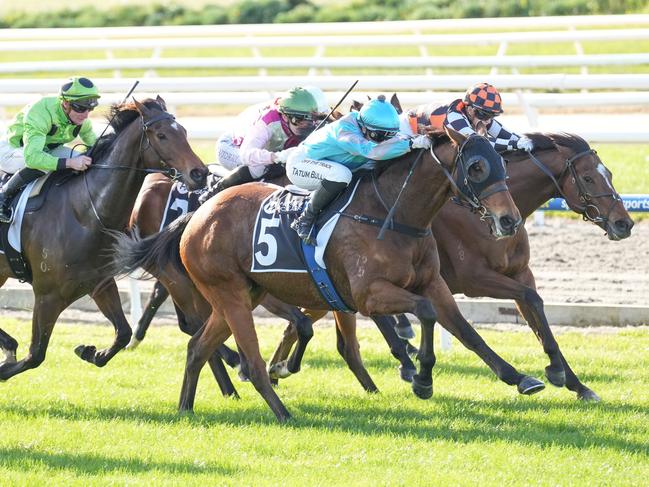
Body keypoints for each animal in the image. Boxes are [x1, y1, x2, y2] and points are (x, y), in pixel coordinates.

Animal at [0, 98, 206, 382]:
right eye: (162, 135)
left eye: (184, 132)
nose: (200, 173)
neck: (85, 213)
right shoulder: (47, 295)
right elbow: (35, 355)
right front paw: (5, 367)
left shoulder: (99, 283)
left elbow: (123, 333)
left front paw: (90, 352)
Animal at [112, 131, 548, 424]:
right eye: (476, 167)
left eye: (503, 165)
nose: (508, 220)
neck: (391, 213)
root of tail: (196, 214)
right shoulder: (369, 295)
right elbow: (424, 313)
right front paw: (422, 379)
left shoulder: (432, 283)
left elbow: (466, 331)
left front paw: (521, 377)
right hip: (230, 294)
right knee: (248, 359)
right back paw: (283, 412)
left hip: (241, 295)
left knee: (197, 348)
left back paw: (186, 408)